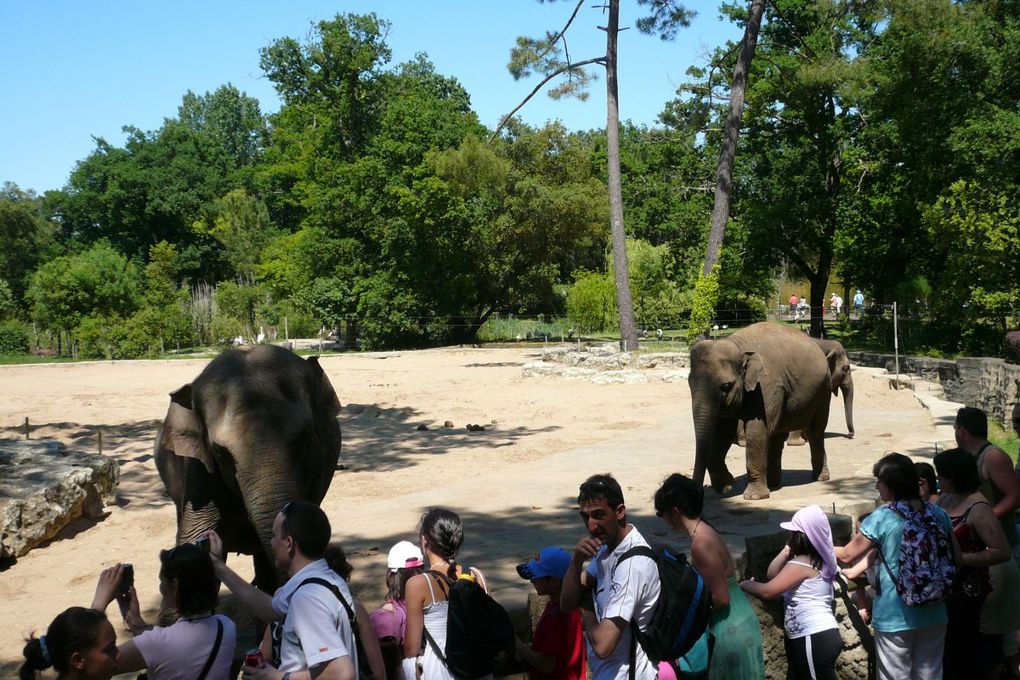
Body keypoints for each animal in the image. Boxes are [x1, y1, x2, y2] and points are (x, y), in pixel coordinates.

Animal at [689, 320, 832, 499]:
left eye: (726, 386)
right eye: (689, 384)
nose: (698, 492)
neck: (738, 346)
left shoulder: (765, 387)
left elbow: (756, 430)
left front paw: (754, 497)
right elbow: (722, 432)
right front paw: (727, 487)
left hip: (823, 390)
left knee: (816, 432)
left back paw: (821, 478)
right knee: (777, 436)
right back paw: (773, 483)